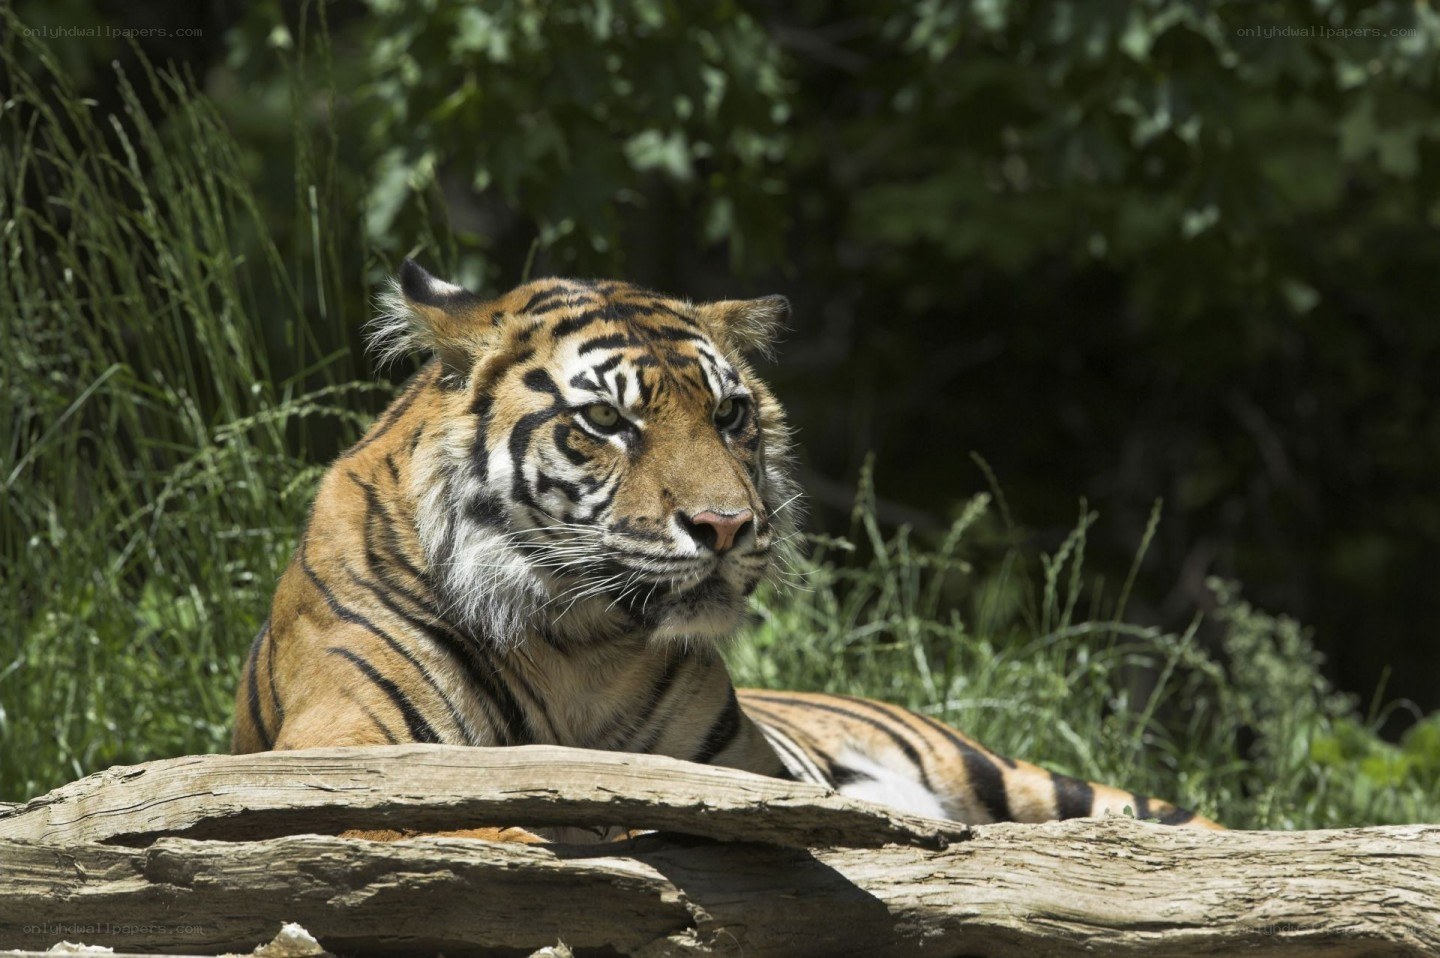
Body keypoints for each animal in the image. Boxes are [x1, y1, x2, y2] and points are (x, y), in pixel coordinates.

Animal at [231, 259, 1220, 835]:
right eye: (607, 421)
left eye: (730, 414)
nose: (727, 525)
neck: (573, 643)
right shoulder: (342, 752)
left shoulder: (742, 775)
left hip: (1015, 777)